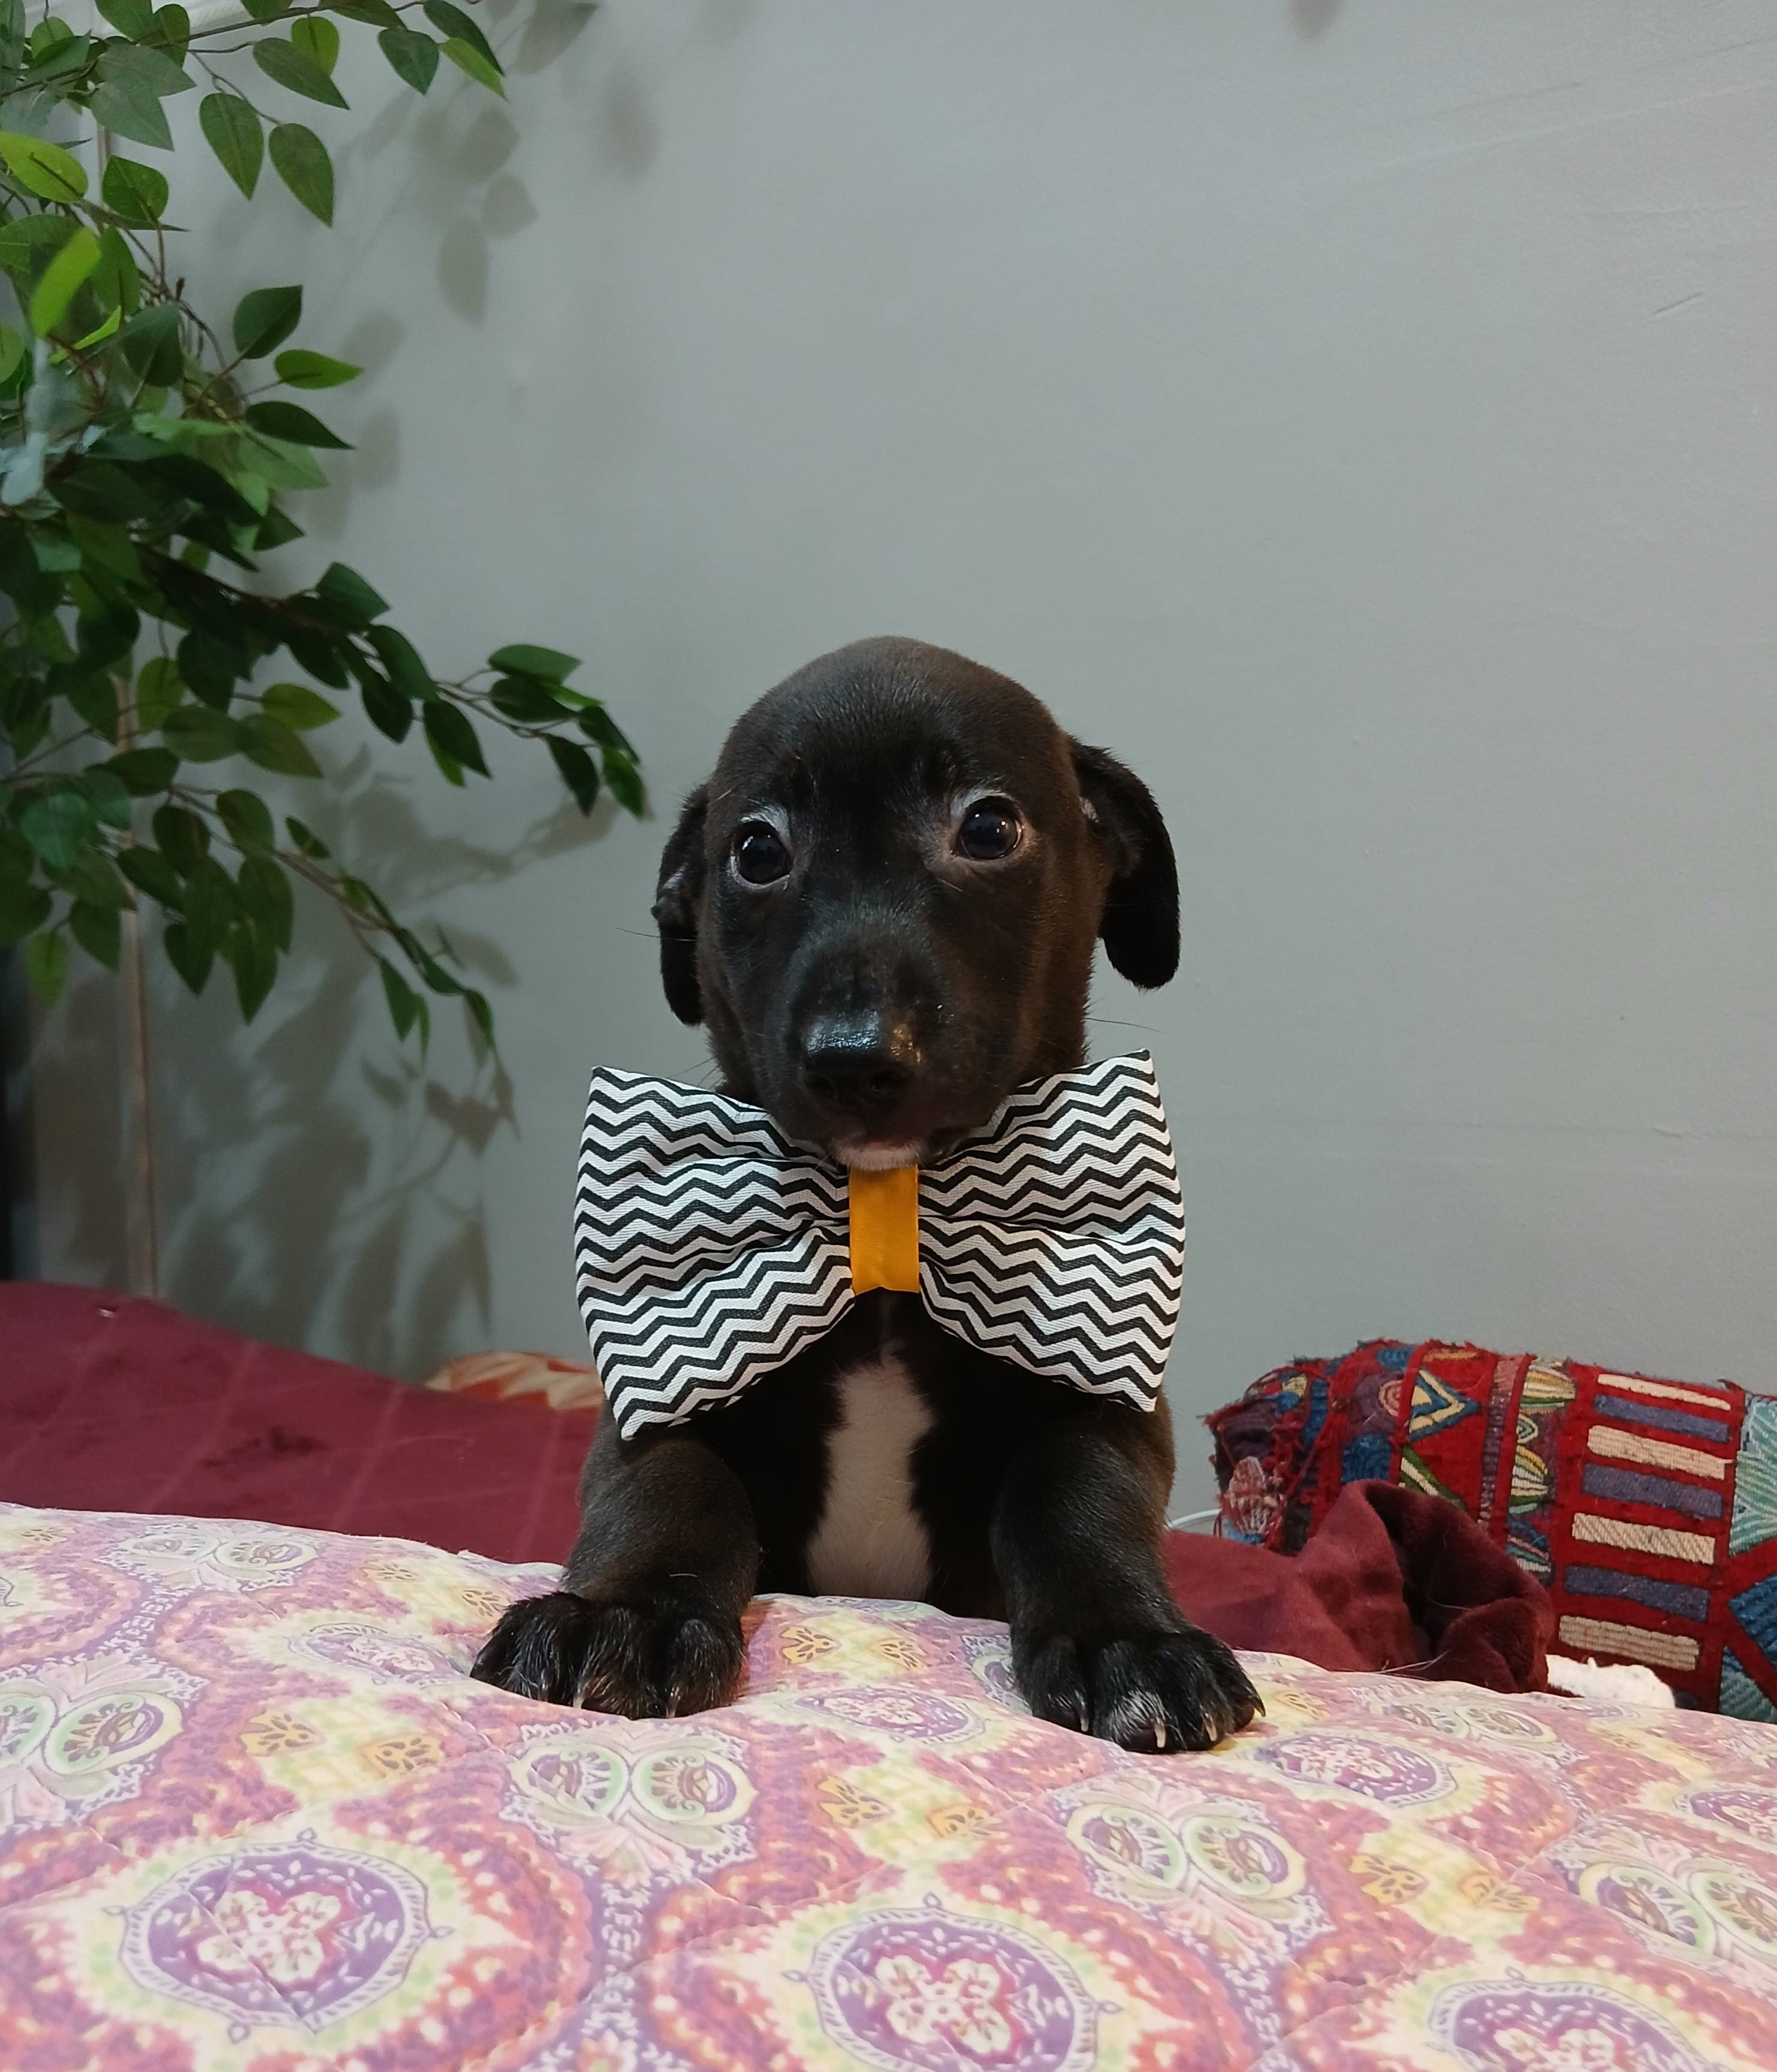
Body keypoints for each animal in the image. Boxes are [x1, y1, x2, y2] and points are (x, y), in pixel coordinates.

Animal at [472, 637, 1261, 1752]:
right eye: (757, 850)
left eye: (989, 826)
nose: (855, 1058)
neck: (887, 1212)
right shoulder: (660, 1389)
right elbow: (669, 1489)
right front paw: (624, 1613)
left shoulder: (1106, 1392)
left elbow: (1076, 1495)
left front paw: (1127, 1642)